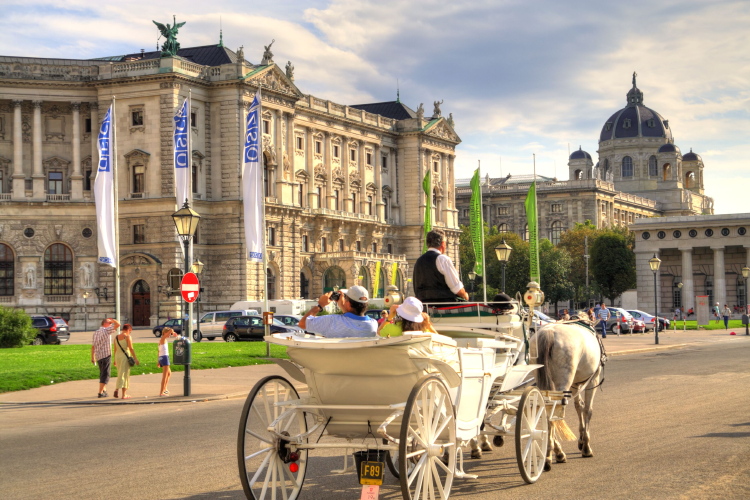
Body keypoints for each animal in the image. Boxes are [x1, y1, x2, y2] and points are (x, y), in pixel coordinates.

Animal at [528, 322, 604, 470]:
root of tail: (548, 332)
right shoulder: (593, 379)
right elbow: (588, 410)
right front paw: (586, 446)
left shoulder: (575, 384)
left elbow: (579, 407)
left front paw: (581, 440)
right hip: (565, 378)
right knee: (554, 411)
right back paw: (550, 455)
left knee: (546, 410)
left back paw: (555, 452)